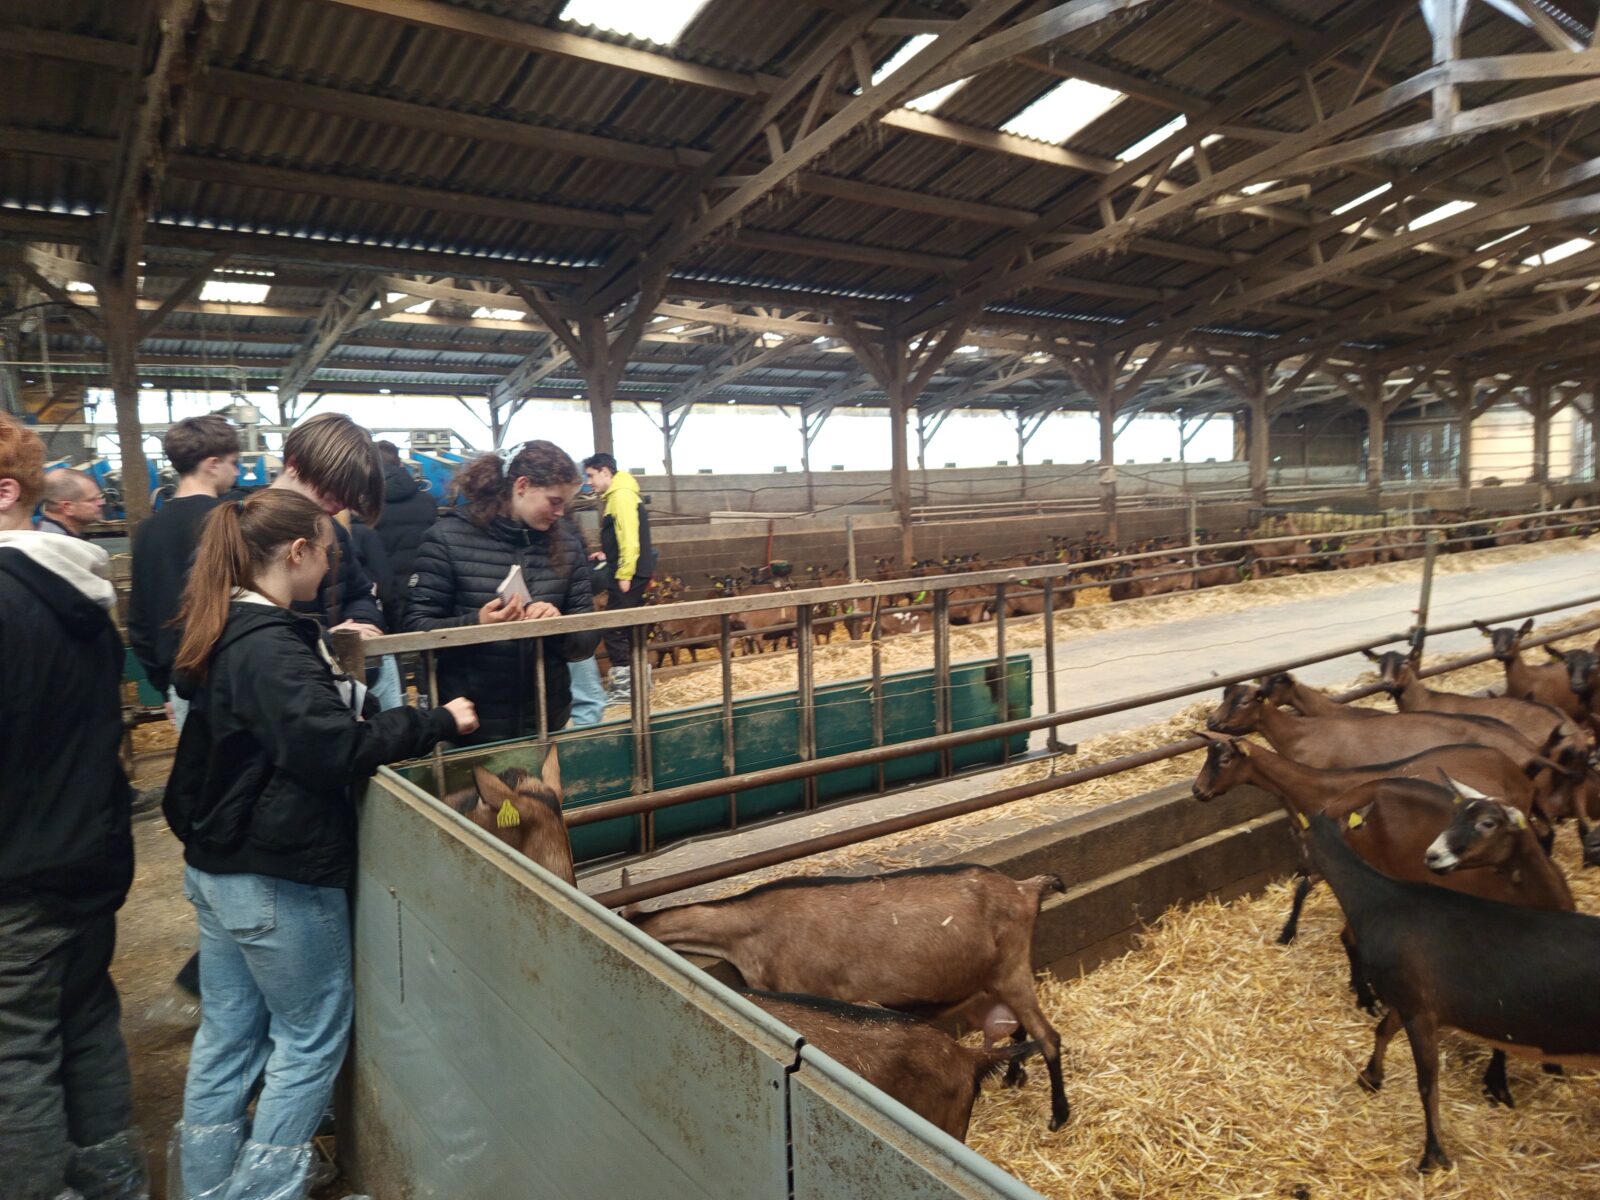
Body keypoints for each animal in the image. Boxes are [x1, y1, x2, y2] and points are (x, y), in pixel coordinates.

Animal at [1305, 812, 1600, 1173]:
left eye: (1297, 836)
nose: (1303, 874)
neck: (1377, 900)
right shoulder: (1411, 999)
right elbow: (1383, 1030)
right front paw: (1370, 1077)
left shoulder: (1417, 1008)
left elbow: (1427, 1084)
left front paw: (1433, 1156)